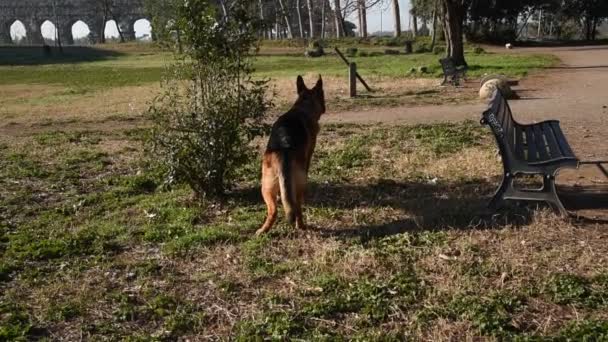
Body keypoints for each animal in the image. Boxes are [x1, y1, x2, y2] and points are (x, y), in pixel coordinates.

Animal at [255, 75, 326, 236]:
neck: (303, 107)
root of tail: (284, 148)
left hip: (266, 187)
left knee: (273, 211)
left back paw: (263, 230)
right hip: (299, 183)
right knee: (297, 207)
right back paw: (301, 226)